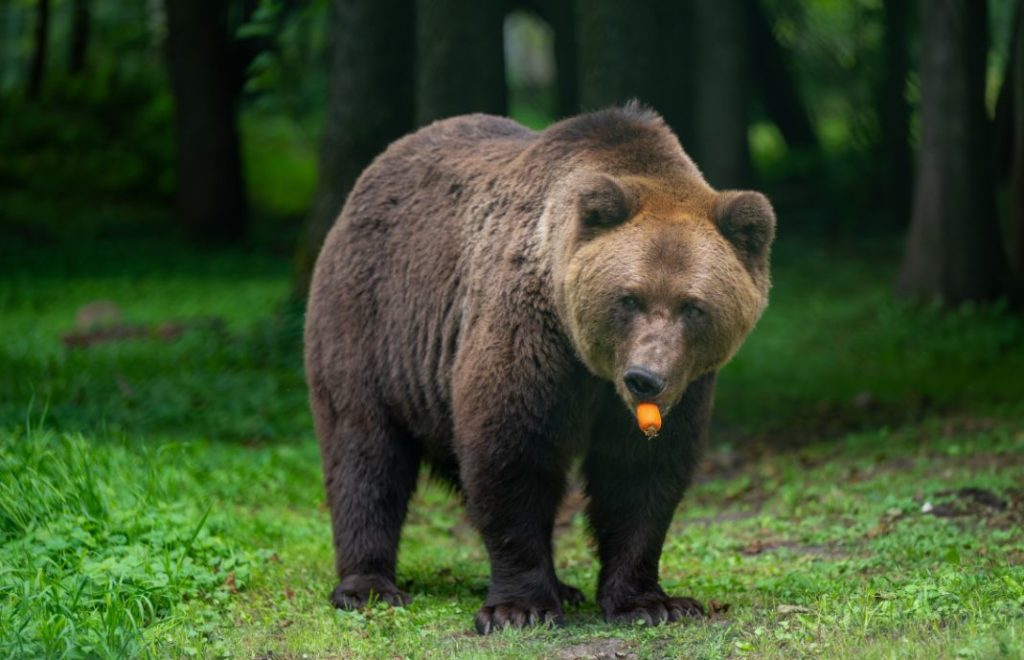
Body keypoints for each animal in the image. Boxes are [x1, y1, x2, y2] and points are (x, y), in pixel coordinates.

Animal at [303, 102, 774, 634]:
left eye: (692, 306)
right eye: (629, 298)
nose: (645, 378)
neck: (592, 365)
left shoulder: (684, 387)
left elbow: (640, 474)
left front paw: (651, 602)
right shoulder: (531, 339)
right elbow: (513, 454)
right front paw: (519, 608)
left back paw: (565, 588)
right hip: (372, 324)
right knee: (364, 451)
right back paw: (368, 585)